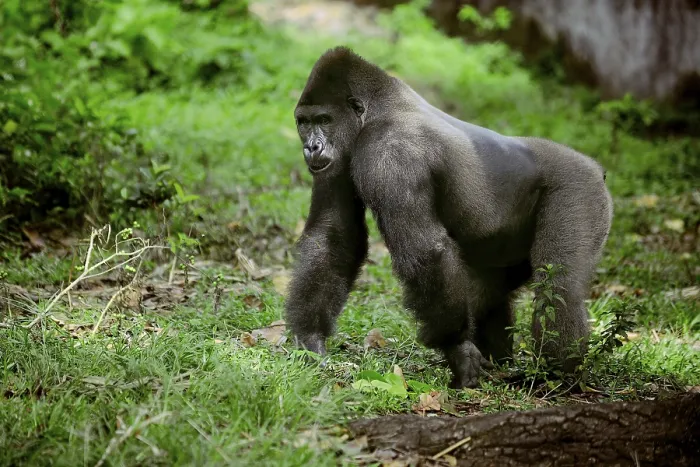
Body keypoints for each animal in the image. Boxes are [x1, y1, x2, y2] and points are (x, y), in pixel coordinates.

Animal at [284, 46, 613, 389]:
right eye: (304, 122)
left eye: (324, 120)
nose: (311, 147)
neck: (376, 108)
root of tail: (595, 167)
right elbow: (334, 235)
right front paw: (309, 337)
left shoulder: (390, 152)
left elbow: (424, 250)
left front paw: (455, 346)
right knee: (490, 289)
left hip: (581, 186)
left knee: (560, 285)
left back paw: (557, 376)